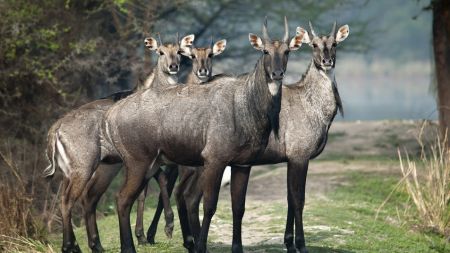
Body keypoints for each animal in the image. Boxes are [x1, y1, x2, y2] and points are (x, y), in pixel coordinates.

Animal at [42, 34, 195, 253]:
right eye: (160, 52)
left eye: (179, 51)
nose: (174, 66)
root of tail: (55, 129)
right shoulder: (146, 159)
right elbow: (158, 183)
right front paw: (166, 226)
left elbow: (147, 190)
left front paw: (144, 235)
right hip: (85, 168)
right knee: (69, 200)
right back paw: (71, 247)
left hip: (89, 170)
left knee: (85, 197)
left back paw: (94, 245)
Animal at [98, 16, 302, 252]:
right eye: (265, 51)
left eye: (287, 51)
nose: (277, 74)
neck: (245, 103)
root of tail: (111, 115)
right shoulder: (214, 160)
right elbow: (209, 206)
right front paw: (199, 245)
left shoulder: (243, 164)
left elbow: (238, 207)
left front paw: (236, 248)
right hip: (138, 163)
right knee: (123, 199)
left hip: (149, 165)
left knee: (127, 198)